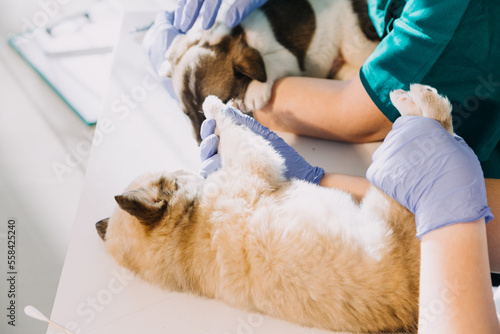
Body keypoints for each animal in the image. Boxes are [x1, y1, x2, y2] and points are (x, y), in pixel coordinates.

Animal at [95, 85, 456, 332]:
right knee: (440, 125)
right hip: (397, 193)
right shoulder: (253, 161)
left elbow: (226, 128)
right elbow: (228, 126)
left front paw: (223, 110)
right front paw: (214, 104)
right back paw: (413, 100)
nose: (189, 168)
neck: (184, 231)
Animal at [160, 0, 378, 142]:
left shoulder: (287, 57)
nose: (200, 143)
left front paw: (255, 90)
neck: (238, 36)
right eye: (187, 115)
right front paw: (171, 54)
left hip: (353, 42)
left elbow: (268, 62)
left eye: (218, 104)